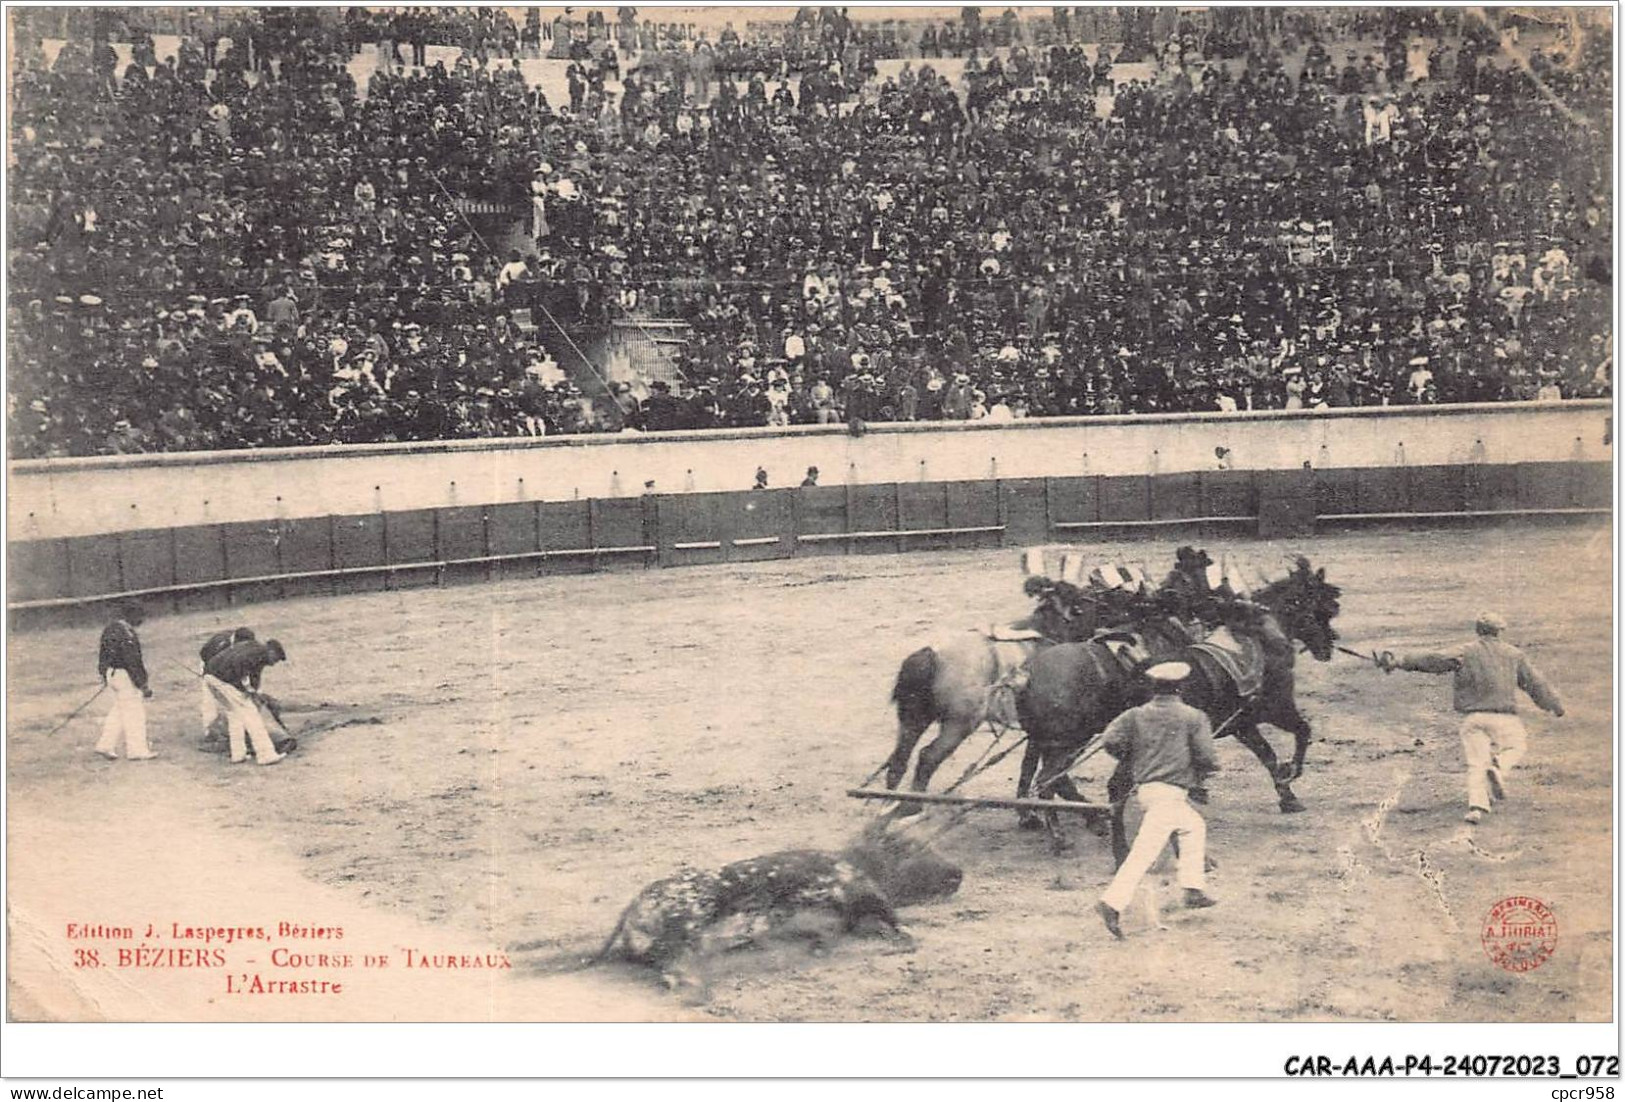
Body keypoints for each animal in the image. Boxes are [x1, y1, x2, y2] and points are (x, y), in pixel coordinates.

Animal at [1014, 562, 1345, 864]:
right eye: (1322, 608)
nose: (1328, 645)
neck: (1260, 636)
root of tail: (1031, 672)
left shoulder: (1242, 724)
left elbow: (1267, 756)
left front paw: (1286, 795)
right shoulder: (1277, 708)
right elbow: (1301, 732)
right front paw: (1293, 776)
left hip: (1066, 739)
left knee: (1048, 775)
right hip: (1075, 740)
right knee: (1061, 779)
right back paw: (1080, 837)